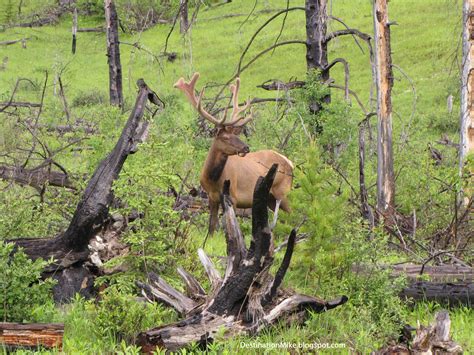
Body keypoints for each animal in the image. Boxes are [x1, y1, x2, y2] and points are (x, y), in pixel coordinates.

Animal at [174, 72, 292, 236]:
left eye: (236, 134)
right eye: (225, 137)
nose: (246, 147)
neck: (213, 179)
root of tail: (289, 162)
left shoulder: (234, 197)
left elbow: (229, 227)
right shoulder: (211, 197)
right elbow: (212, 227)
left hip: (283, 191)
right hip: (270, 198)